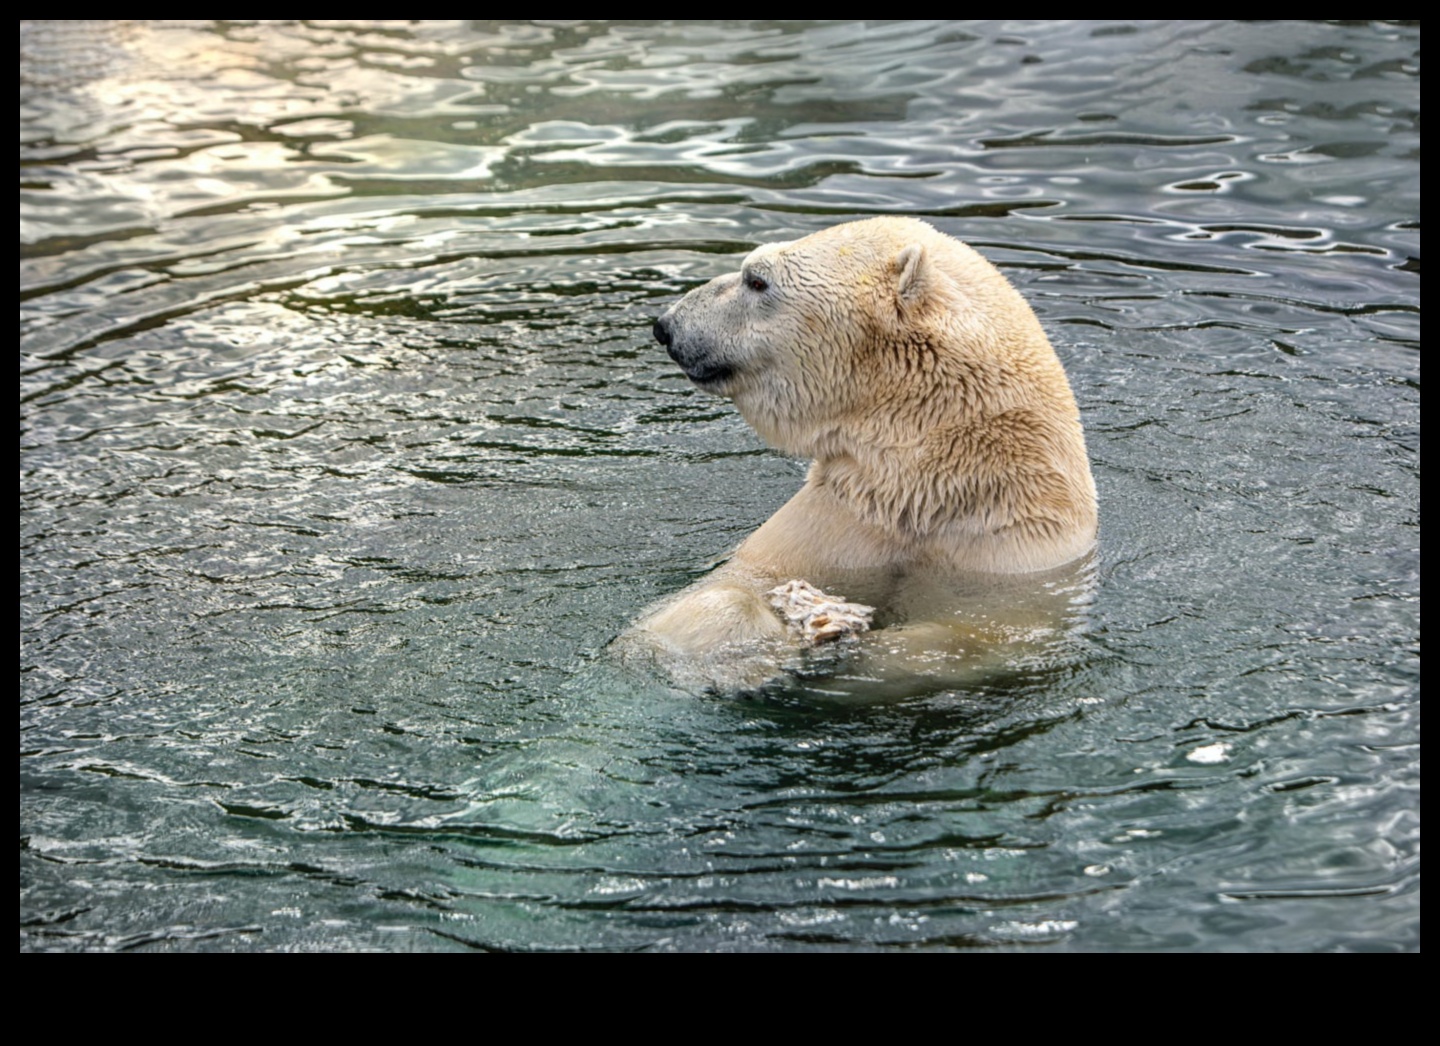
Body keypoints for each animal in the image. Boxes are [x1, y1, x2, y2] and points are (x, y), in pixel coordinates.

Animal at [627, 218, 1088, 697]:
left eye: (756, 279)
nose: (666, 326)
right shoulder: (844, 515)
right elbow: (724, 587)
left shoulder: (1013, 560)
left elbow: (977, 639)